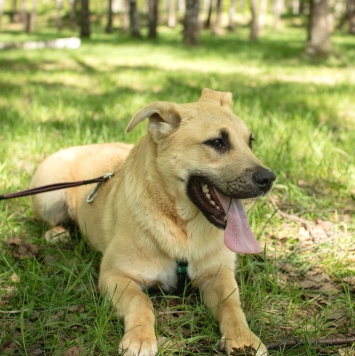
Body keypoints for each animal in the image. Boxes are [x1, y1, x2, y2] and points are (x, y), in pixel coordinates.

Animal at [30, 89, 276, 356]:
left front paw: (243, 337)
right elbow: (141, 301)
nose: (269, 178)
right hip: (49, 198)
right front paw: (140, 338)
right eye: (217, 143)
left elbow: (232, 305)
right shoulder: (115, 275)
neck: (183, 227)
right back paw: (57, 232)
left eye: (250, 142)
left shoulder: (218, 274)